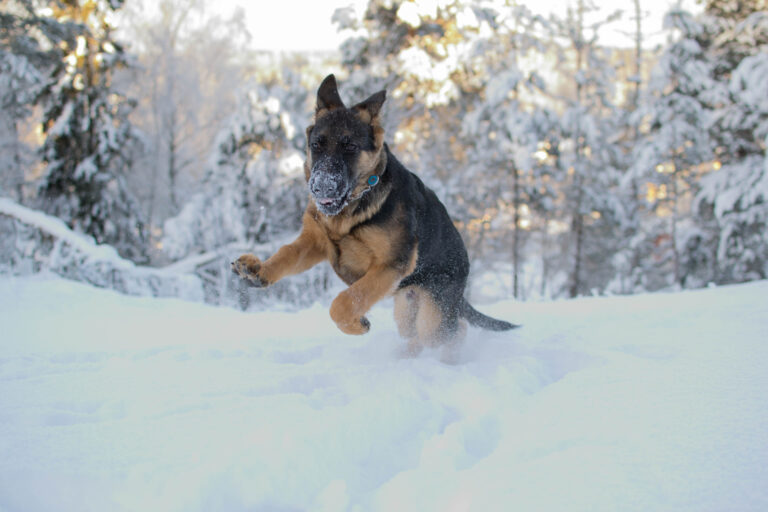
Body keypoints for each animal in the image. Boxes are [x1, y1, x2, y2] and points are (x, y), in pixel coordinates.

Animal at [230, 74, 516, 352]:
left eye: (350, 147)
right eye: (316, 145)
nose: (321, 187)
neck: (352, 208)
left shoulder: (389, 264)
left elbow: (345, 301)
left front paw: (356, 324)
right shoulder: (314, 242)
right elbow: (287, 253)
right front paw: (260, 269)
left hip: (432, 315)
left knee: (452, 332)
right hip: (407, 308)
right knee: (419, 333)